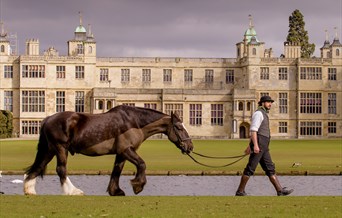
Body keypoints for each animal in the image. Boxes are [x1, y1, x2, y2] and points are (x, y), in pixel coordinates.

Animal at [24, 105, 192, 196]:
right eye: (178, 127)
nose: (190, 146)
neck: (134, 122)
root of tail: (48, 119)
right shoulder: (127, 150)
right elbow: (142, 164)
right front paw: (138, 185)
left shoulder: (121, 153)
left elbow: (116, 171)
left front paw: (115, 191)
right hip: (60, 148)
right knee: (61, 169)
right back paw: (72, 191)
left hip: (49, 150)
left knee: (38, 167)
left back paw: (29, 190)